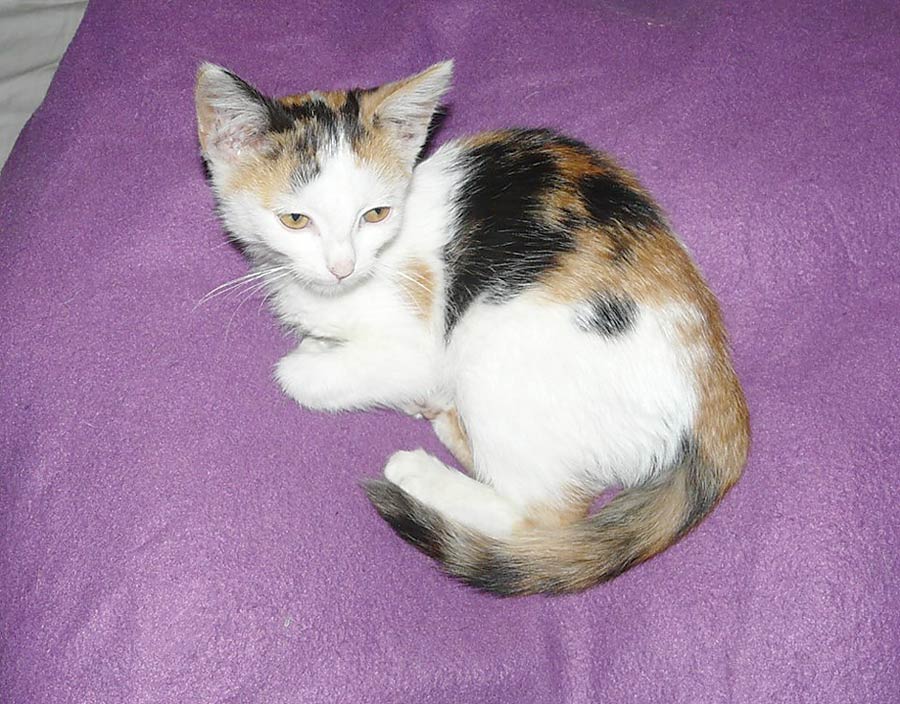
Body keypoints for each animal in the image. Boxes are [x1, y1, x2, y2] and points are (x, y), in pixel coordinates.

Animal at [195, 60, 750, 596]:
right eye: (295, 220)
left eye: (375, 214)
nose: (341, 267)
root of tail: (717, 392)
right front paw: (322, 342)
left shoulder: (421, 343)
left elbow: (296, 375)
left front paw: (318, 362)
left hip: (492, 345)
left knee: (544, 518)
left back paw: (421, 466)